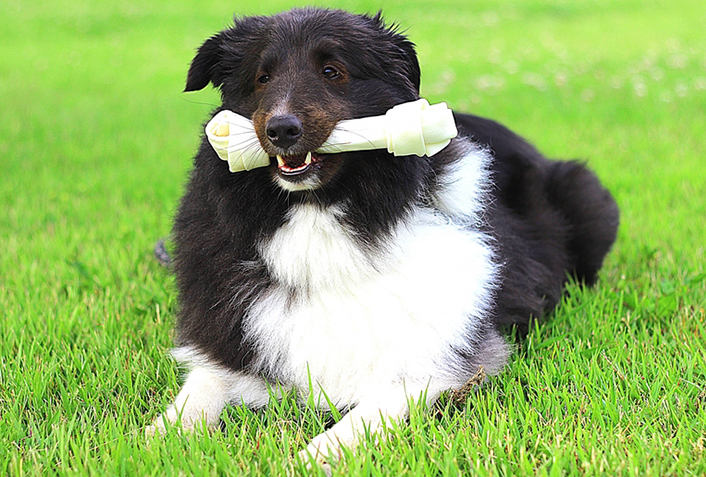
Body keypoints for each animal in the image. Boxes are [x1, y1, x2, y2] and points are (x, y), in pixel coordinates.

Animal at [148, 6, 616, 462]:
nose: (280, 130)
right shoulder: (227, 345)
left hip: (587, 195)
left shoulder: (438, 364)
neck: (317, 217)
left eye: (332, 71)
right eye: (262, 78)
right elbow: (196, 394)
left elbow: (355, 422)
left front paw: (309, 457)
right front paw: (157, 439)